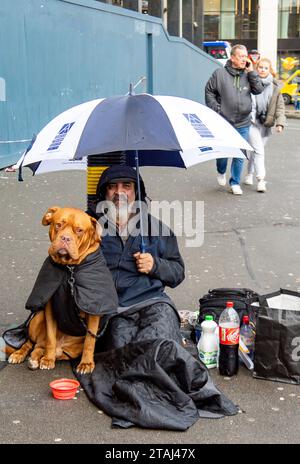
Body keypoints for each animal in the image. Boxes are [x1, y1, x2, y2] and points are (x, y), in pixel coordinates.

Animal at [6, 207, 117, 374]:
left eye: (79, 230)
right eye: (58, 225)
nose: (65, 238)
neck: (69, 269)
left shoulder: (93, 310)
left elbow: (89, 341)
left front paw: (86, 363)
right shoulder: (50, 308)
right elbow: (51, 337)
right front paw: (48, 359)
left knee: (40, 347)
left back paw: (35, 359)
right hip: (38, 318)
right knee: (32, 343)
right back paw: (22, 355)